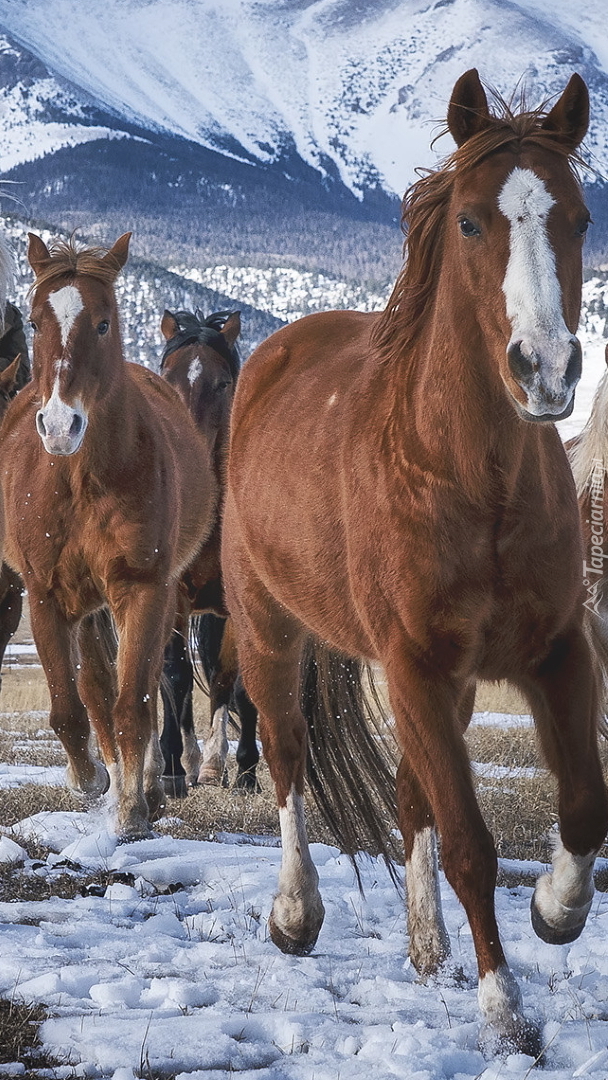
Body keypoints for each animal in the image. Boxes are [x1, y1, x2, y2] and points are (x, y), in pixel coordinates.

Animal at [0, 234, 219, 842]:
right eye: (35, 321)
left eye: (103, 323)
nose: (59, 427)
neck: (81, 479)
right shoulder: (45, 595)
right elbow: (71, 709)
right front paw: (93, 779)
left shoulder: (143, 589)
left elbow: (133, 705)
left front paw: (132, 809)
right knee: (94, 690)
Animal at [223, 69, 608, 1054]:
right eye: (470, 222)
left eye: (580, 217)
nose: (546, 371)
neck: (474, 481)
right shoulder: (415, 666)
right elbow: (472, 841)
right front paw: (507, 1010)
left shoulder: (554, 649)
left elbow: (582, 802)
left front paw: (556, 909)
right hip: (269, 632)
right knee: (285, 755)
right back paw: (296, 915)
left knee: (408, 795)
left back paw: (429, 945)